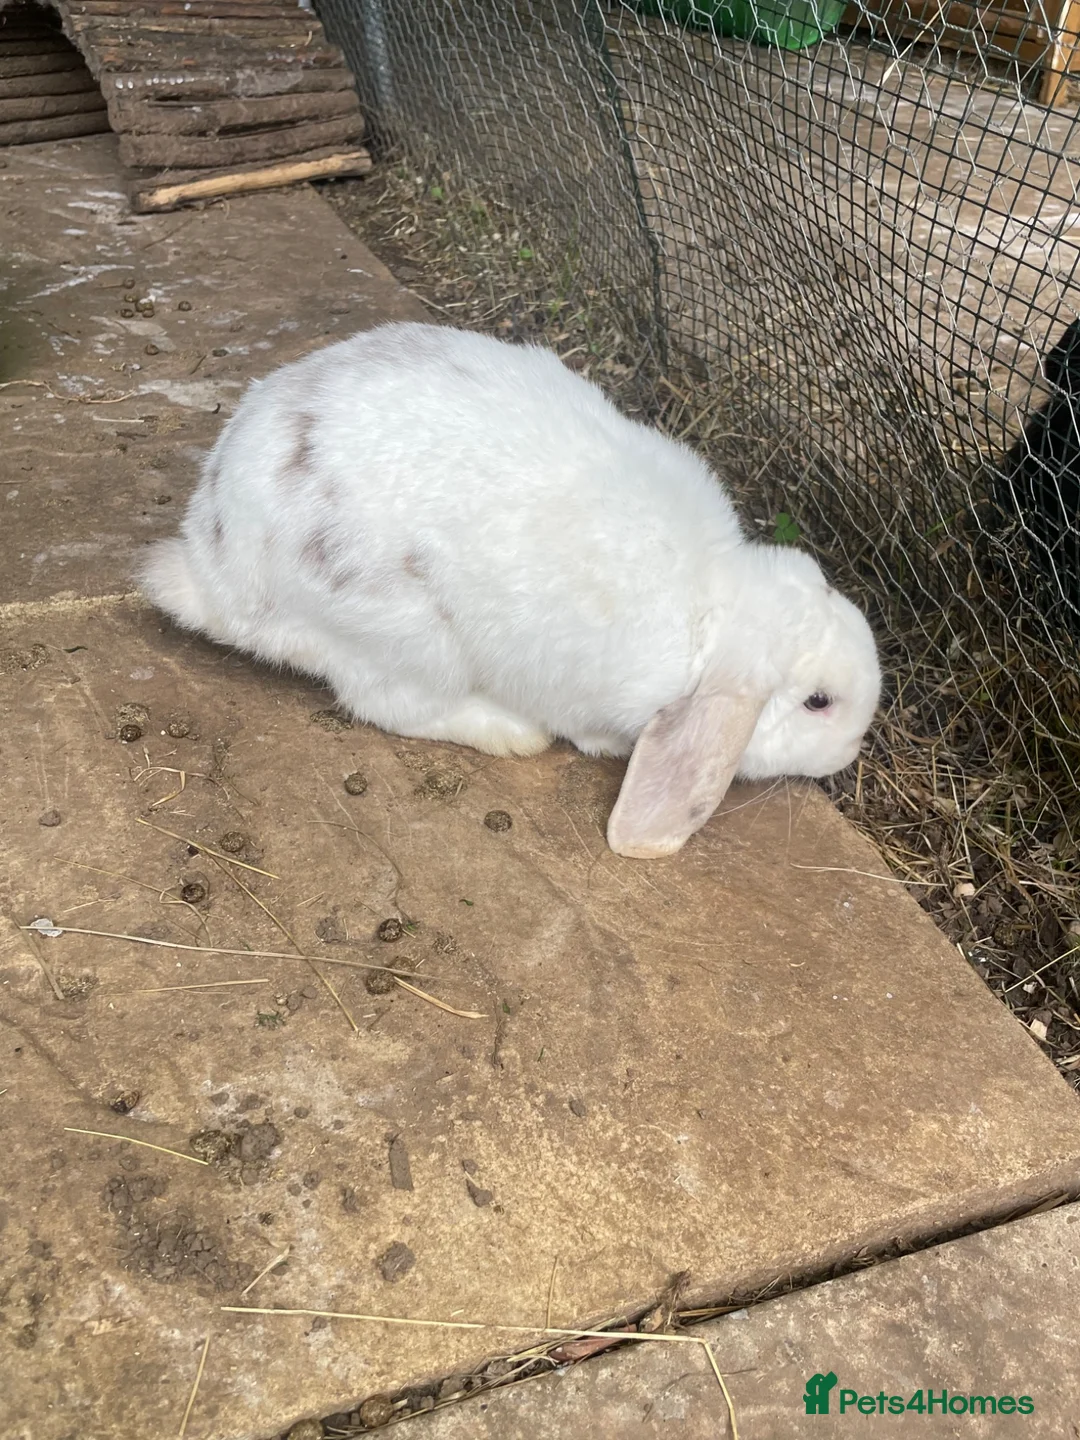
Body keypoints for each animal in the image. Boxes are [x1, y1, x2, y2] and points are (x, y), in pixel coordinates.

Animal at [139, 322, 881, 859]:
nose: (854, 748)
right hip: (407, 642)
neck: (710, 609)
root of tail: (211, 562)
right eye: (818, 702)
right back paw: (511, 733)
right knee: (387, 706)